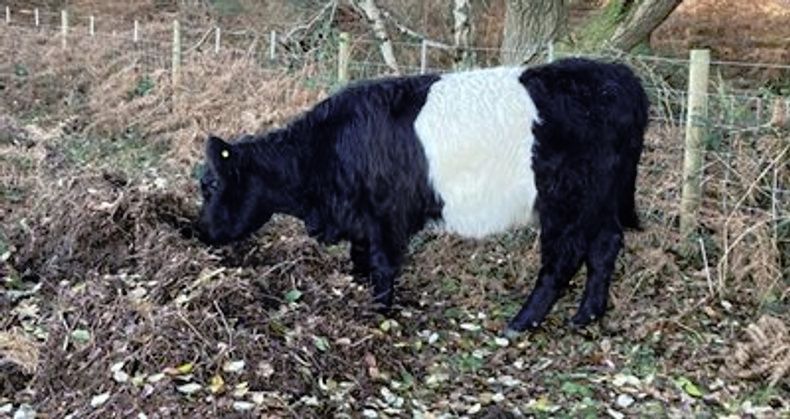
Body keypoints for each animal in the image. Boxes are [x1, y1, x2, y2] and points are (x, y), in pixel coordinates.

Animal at [195, 57, 649, 332]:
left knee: (562, 259)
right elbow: (360, 259)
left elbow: (382, 264)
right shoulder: (362, 220)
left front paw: (378, 312)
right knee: (606, 245)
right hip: (598, 202)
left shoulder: (384, 215)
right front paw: (358, 293)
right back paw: (587, 315)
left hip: (565, 201)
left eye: (211, 185)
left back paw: (521, 322)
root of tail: (615, 74)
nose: (198, 232)